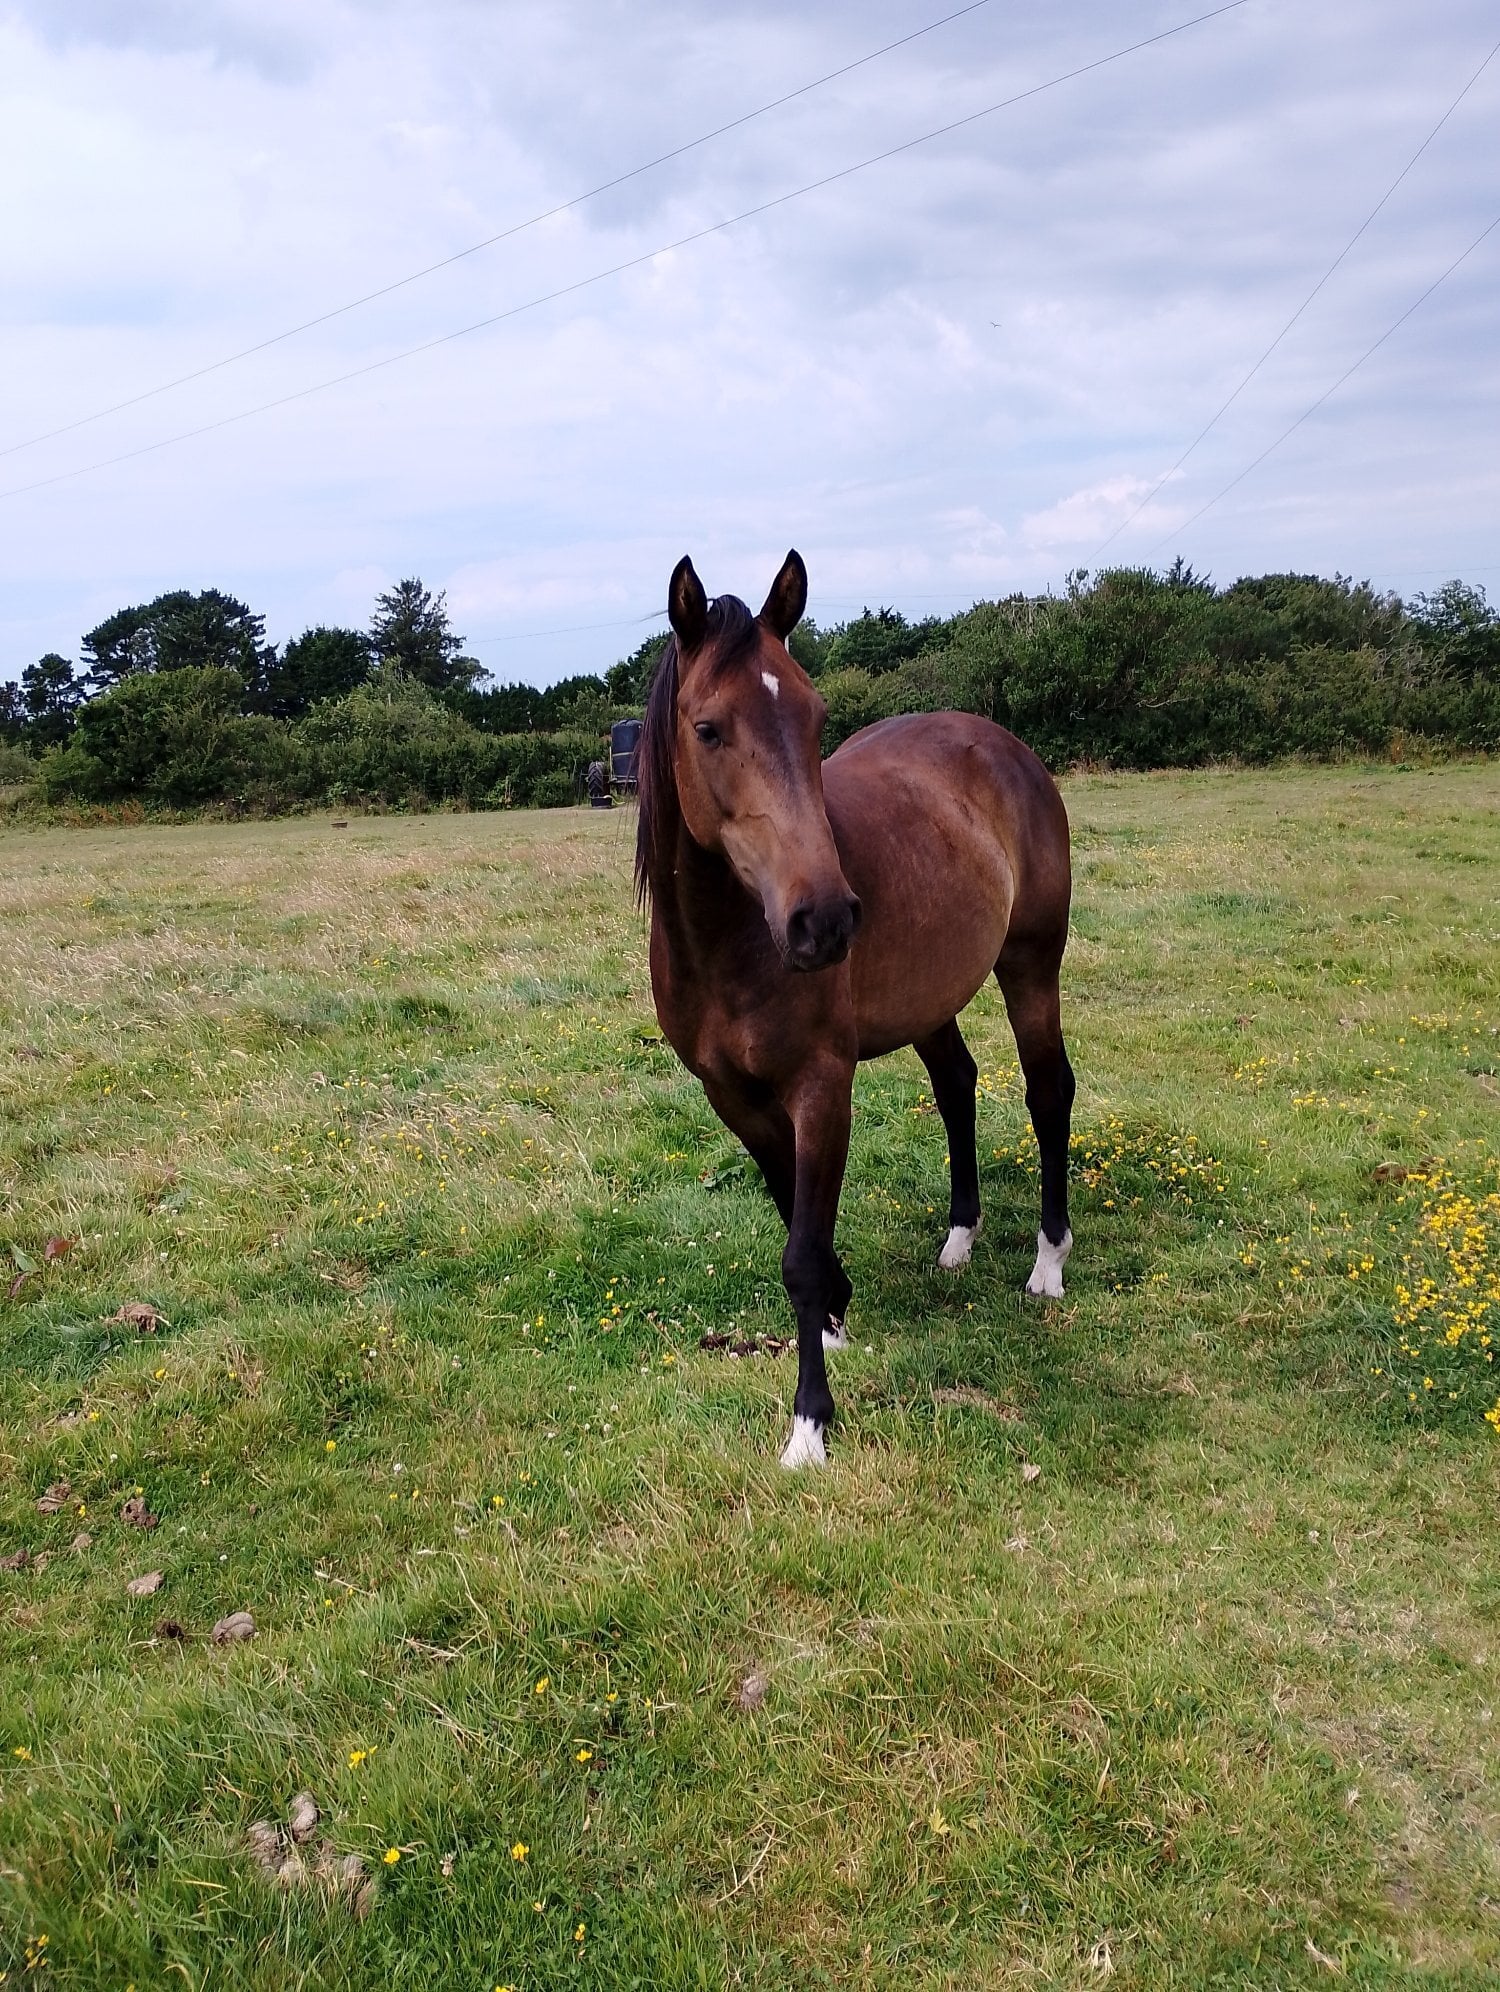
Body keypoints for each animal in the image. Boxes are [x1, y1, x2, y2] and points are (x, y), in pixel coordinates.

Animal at [635, 549, 1075, 1468]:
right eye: (708, 728)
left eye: (815, 716)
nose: (826, 920)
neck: (731, 941)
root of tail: (1001, 744)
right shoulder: (733, 1098)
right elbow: (790, 1214)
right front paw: (836, 1314)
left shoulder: (821, 1086)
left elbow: (799, 1252)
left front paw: (810, 1423)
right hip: (930, 1000)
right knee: (956, 1086)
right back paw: (960, 1237)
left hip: (1031, 965)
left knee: (1047, 1092)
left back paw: (1048, 1263)